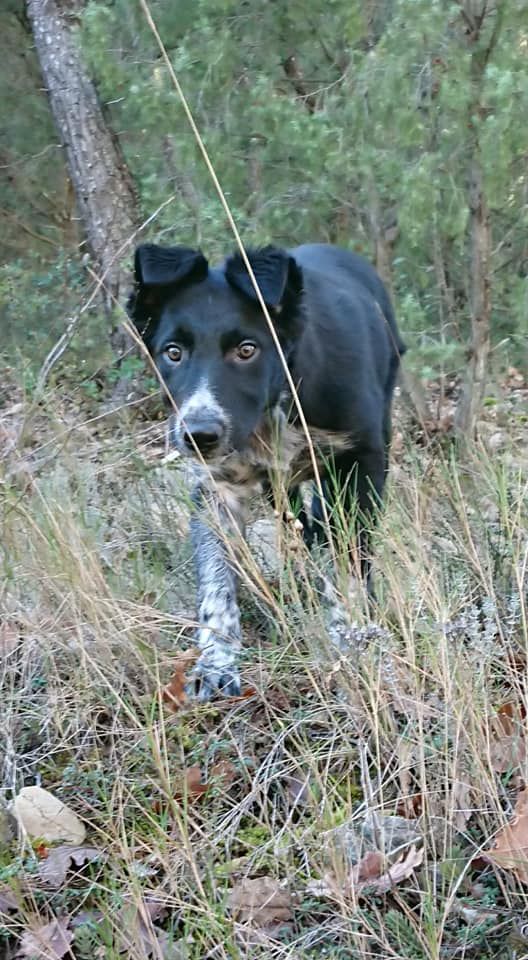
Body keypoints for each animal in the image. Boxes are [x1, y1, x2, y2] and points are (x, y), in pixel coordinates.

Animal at [128, 244, 404, 700]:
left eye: (247, 349)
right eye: (173, 352)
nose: (198, 436)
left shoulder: (361, 464)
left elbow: (350, 558)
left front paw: (351, 638)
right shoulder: (216, 488)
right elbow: (216, 581)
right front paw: (215, 662)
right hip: (278, 486)